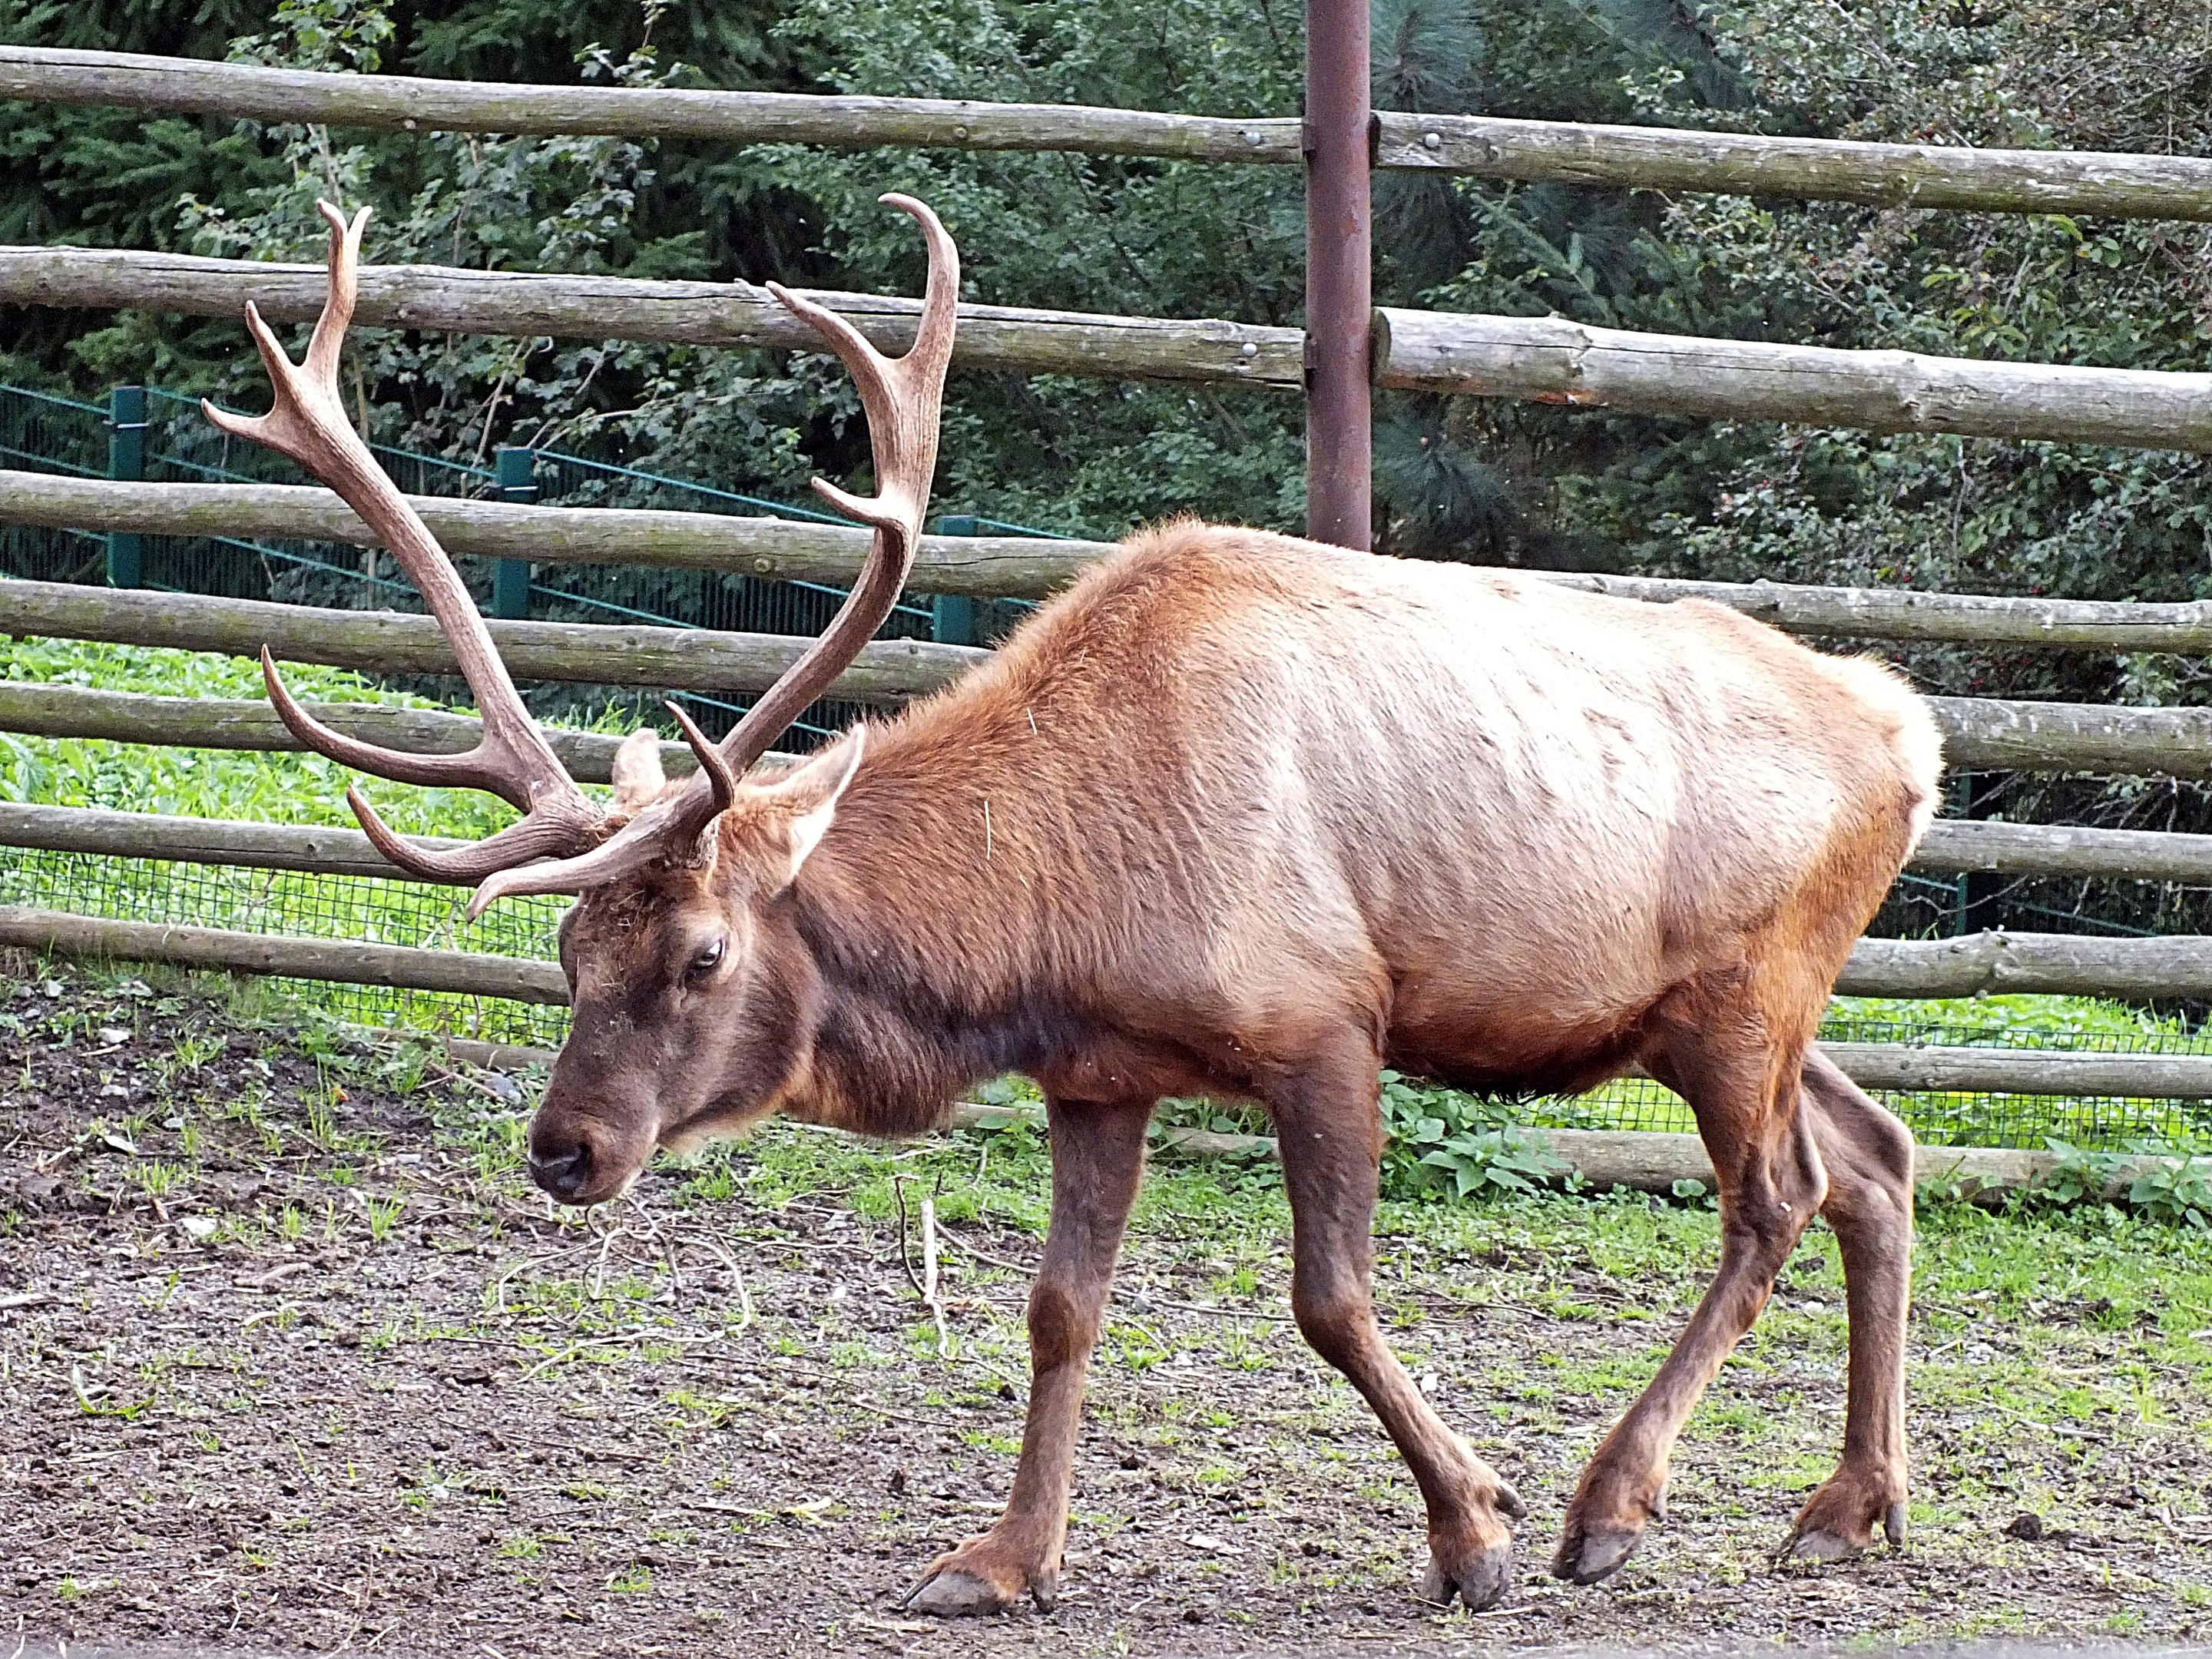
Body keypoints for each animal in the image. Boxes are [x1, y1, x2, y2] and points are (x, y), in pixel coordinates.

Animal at [204, 196, 1942, 1617]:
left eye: (702, 952)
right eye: (567, 945)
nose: (564, 1151)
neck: (1053, 928)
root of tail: (1907, 731)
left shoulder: (1326, 1023)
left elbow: (1329, 1299)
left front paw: (1476, 1527)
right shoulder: (1100, 1074)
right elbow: (1056, 1311)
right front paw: (999, 1560)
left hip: (1740, 994)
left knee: (1777, 1196)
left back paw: (1612, 1509)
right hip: (1742, 1011)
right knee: (1877, 1156)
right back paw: (1842, 1511)